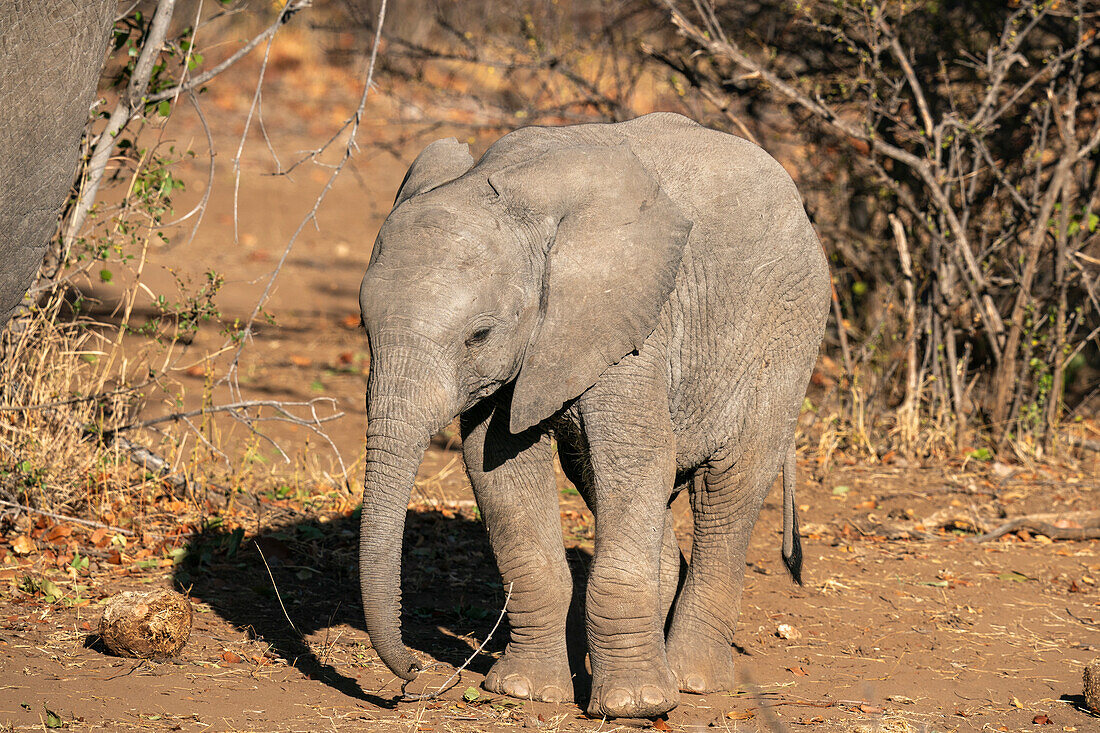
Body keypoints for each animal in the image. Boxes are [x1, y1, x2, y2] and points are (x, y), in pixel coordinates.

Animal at [356, 111, 827, 717]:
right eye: (364, 328)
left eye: (478, 336)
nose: (416, 676)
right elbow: (498, 469)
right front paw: (524, 691)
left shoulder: (631, 324)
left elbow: (637, 459)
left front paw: (634, 706)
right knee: (605, 482)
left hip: (788, 330)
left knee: (728, 486)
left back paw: (693, 680)